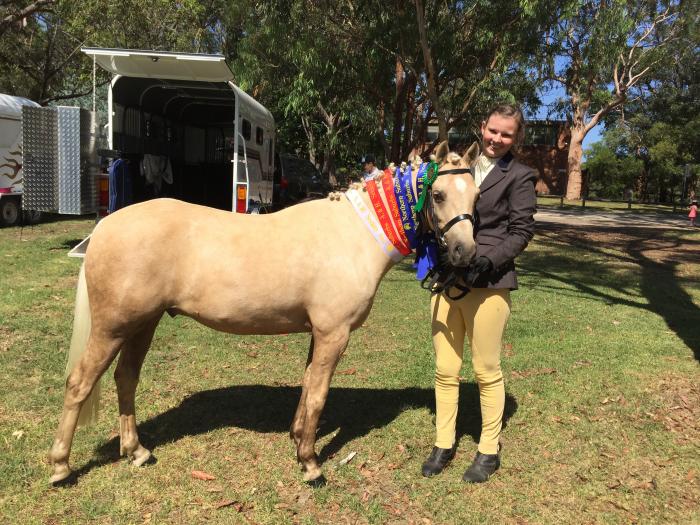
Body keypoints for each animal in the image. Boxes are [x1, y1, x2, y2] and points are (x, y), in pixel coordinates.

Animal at [48, 141, 480, 486]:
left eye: (476, 196)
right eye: (437, 194)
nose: (466, 252)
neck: (355, 236)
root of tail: (106, 225)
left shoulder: (318, 333)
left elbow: (307, 385)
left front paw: (298, 440)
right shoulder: (334, 333)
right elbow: (319, 394)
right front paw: (311, 464)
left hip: (143, 323)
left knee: (126, 378)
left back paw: (137, 452)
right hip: (113, 328)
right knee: (79, 383)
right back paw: (61, 467)